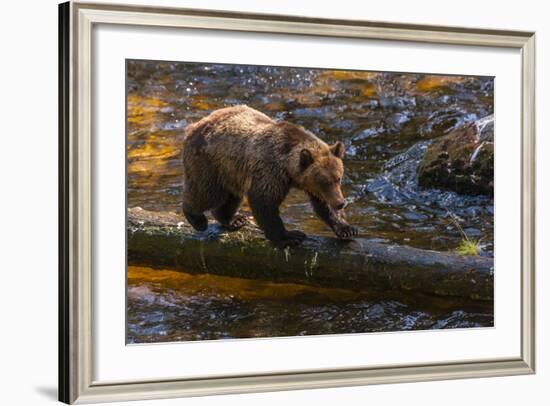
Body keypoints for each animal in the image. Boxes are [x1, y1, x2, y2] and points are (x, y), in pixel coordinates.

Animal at [183, 104, 360, 246]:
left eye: (338, 178)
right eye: (324, 181)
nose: (340, 203)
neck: (289, 169)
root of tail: (193, 126)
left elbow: (323, 205)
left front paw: (347, 228)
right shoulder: (270, 170)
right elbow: (265, 202)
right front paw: (290, 236)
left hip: (232, 172)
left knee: (231, 196)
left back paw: (234, 219)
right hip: (210, 163)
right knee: (207, 193)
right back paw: (197, 218)